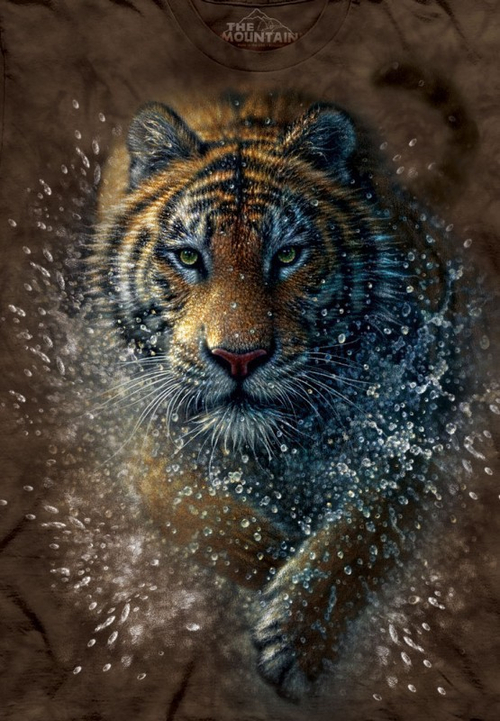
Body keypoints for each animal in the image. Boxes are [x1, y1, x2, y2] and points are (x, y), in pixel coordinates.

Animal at [91, 83, 486, 701]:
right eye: (188, 257)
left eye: (287, 256)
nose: (239, 358)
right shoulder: (143, 428)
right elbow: (197, 511)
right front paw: (274, 565)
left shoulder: (413, 422)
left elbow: (361, 531)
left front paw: (299, 637)